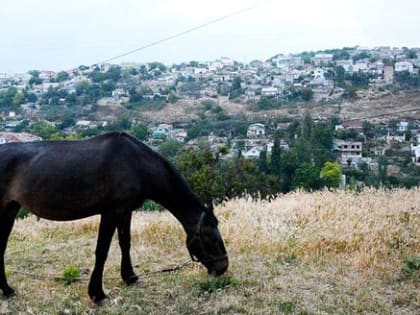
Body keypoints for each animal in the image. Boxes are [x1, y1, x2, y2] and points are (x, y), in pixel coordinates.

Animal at [0, 133, 228, 304]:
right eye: (211, 238)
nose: (223, 267)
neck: (137, 164)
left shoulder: (125, 211)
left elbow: (125, 243)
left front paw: (130, 277)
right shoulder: (111, 212)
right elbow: (102, 251)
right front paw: (97, 294)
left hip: (9, 210)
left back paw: (7, 290)